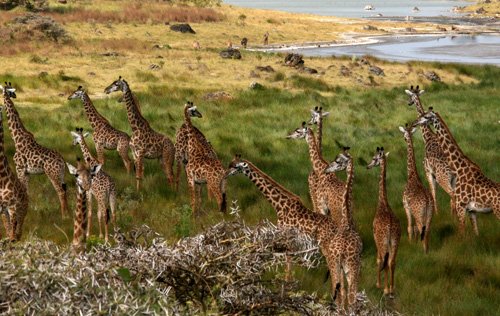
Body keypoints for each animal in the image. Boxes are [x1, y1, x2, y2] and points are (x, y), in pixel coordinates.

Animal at [1, 82, 68, 217]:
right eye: (12, 92)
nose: (15, 96)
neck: (16, 137)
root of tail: (63, 161)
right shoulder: (27, 172)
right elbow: (26, 192)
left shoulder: (20, 168)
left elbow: (24, 191)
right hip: (61, 175)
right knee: (65, 190)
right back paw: (69, 214)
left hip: (52, 174)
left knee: (61, 192)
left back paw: (64, 216)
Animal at [225, 155, 362, 308]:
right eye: (230, 163)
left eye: (235, 166)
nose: (225, 174)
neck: (278, 204)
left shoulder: (288, 242)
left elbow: (287, 274)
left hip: (330, 252)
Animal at [398, 123, 434, 252]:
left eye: (404, 135)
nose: (404, 139)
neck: (412, 175)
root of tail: (427, 201)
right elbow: (414, 229)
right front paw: (414, 243)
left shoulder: (406, 206)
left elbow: (410, 227)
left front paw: (410, 243)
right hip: (430, 214)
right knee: (427, 229)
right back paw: (426, 249)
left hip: (419, 214)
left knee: (420, 227)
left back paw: (424, 250)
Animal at [406, 85, 458, 214]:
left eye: (410, 96)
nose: (409, 103)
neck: (428, 136)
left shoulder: (428, 172)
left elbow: (433, 195)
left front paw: (436, 214)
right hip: (454, 181)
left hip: (443, 179)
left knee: (452, 196)